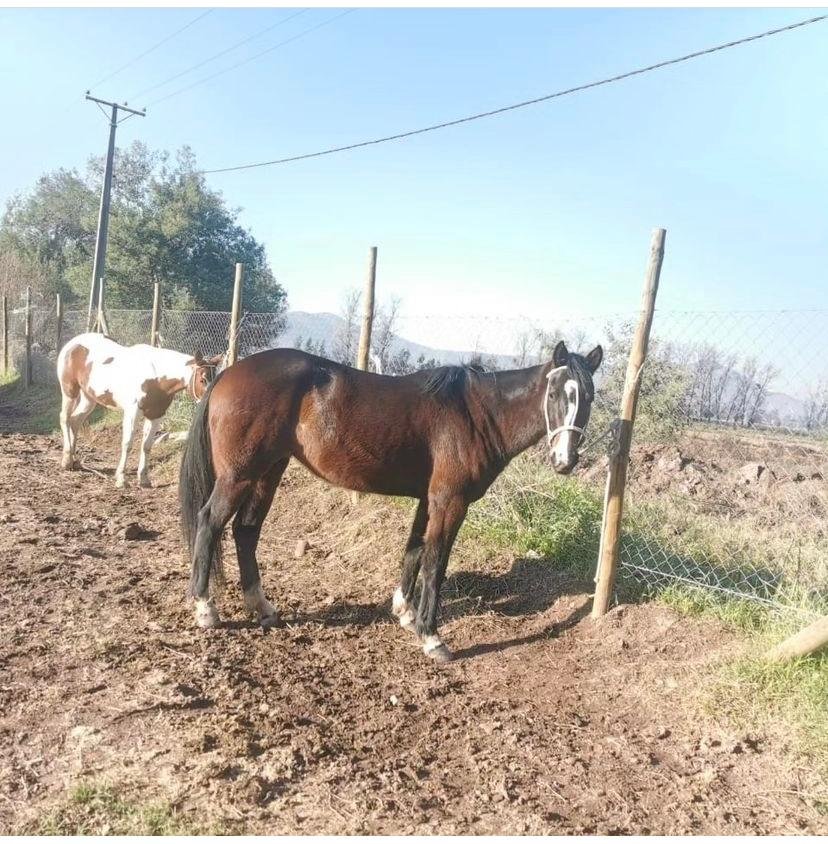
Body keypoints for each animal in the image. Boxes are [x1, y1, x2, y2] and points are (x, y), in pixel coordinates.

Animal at [57, 332, 223, 488]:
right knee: (65, 418)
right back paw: (66, 461)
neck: (156, 377)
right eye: (202, 379)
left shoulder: (156, 415)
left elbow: (147, 445)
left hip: (89, 398)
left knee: (75, 420)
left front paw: (143, 479)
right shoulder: (132, 413)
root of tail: (72, 344)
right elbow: (128, 444)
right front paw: (121, 479)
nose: (210, 403)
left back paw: (73, 460)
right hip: (69, 391)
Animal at [179, 339, 602, 662]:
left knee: (246, 531)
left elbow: (413, 550)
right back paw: (205, 608)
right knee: (209, 522)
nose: (565, 461)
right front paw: (431, 636)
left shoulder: (428, 500)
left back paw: (263, 608)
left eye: (588, 397)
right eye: (555, 393)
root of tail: (228, 373)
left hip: (269, 471)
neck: (477, 415)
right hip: (239, 475)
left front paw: (404, 612)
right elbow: (435, 562)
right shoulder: (450, 501)